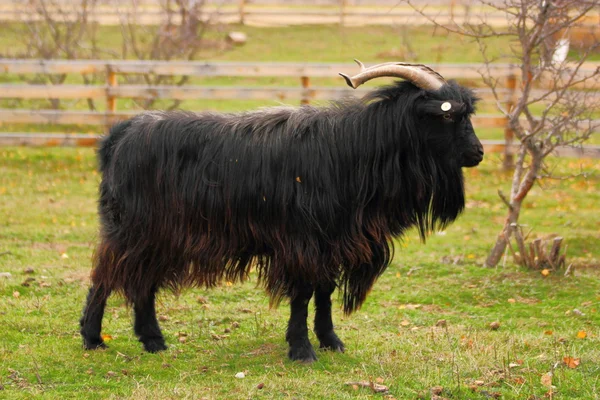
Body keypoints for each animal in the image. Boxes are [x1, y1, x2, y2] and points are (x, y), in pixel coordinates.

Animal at [79, 61, 482, 362]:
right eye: (448, 116)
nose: (478, 153)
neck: (354, 151)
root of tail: (118, 136)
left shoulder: (331, 242)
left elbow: (324, 291)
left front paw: (330, 340)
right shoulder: (301, 242)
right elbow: (302, 295)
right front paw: (301, 349)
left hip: (158, 235)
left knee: (141, 282)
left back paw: (153, 341)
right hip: (134, 228)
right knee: (106, 275)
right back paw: (93, 338)